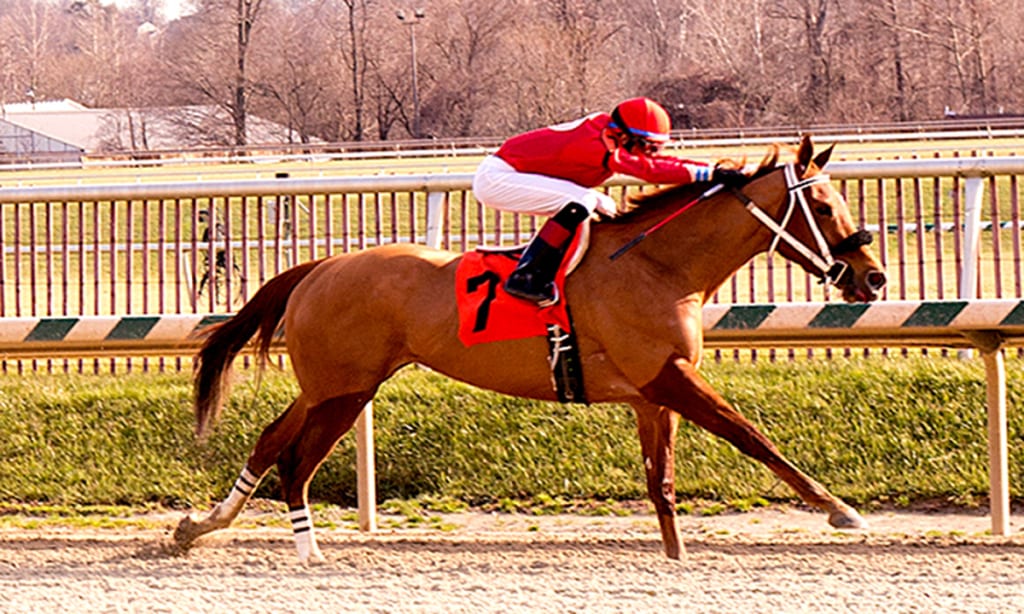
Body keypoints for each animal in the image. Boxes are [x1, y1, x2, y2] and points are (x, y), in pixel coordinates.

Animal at [176, 137, 888, 564]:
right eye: (822, 205)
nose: (874, 277)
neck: (659, 266)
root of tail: (318, 267)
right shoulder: (670, 377)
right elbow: (752, 437)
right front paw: (840, 510)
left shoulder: (651, 392)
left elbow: (661, 480)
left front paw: (675, 555)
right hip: (346, 391)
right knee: (295, 461)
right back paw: (307, 551)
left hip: (329, 385)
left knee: (270, 440)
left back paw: (200, 526)